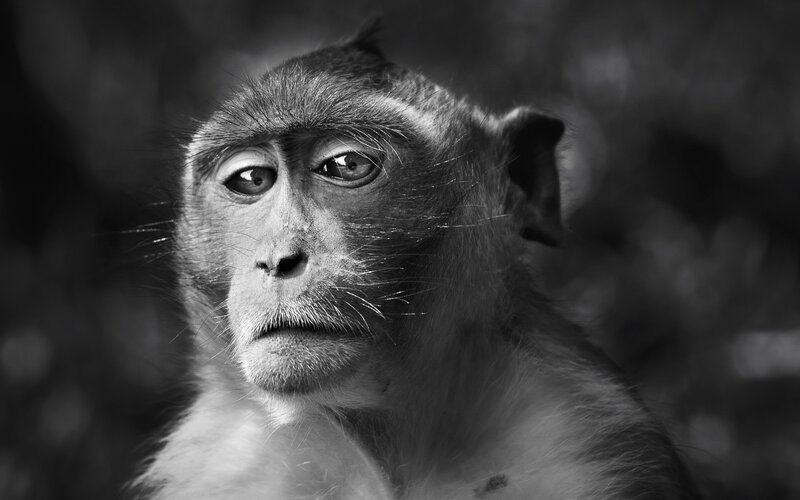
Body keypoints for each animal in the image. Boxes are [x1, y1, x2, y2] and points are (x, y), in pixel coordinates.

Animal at [135, 24, 697, 500]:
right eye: (251, 179)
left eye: (345, 165)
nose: (278, 260)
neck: (386, 452)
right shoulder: (216, 465)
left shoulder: (596, 442)